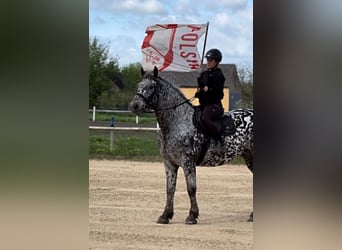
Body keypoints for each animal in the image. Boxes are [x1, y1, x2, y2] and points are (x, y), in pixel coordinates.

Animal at [130, 67, 252, 225]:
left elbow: (191, 188)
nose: (134, 106)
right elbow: (170, 189)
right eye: (138, 85)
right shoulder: (169, 163)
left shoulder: (188, 162)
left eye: (151, 86)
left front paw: (192, 216)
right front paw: (165, 215)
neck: (178, 121)